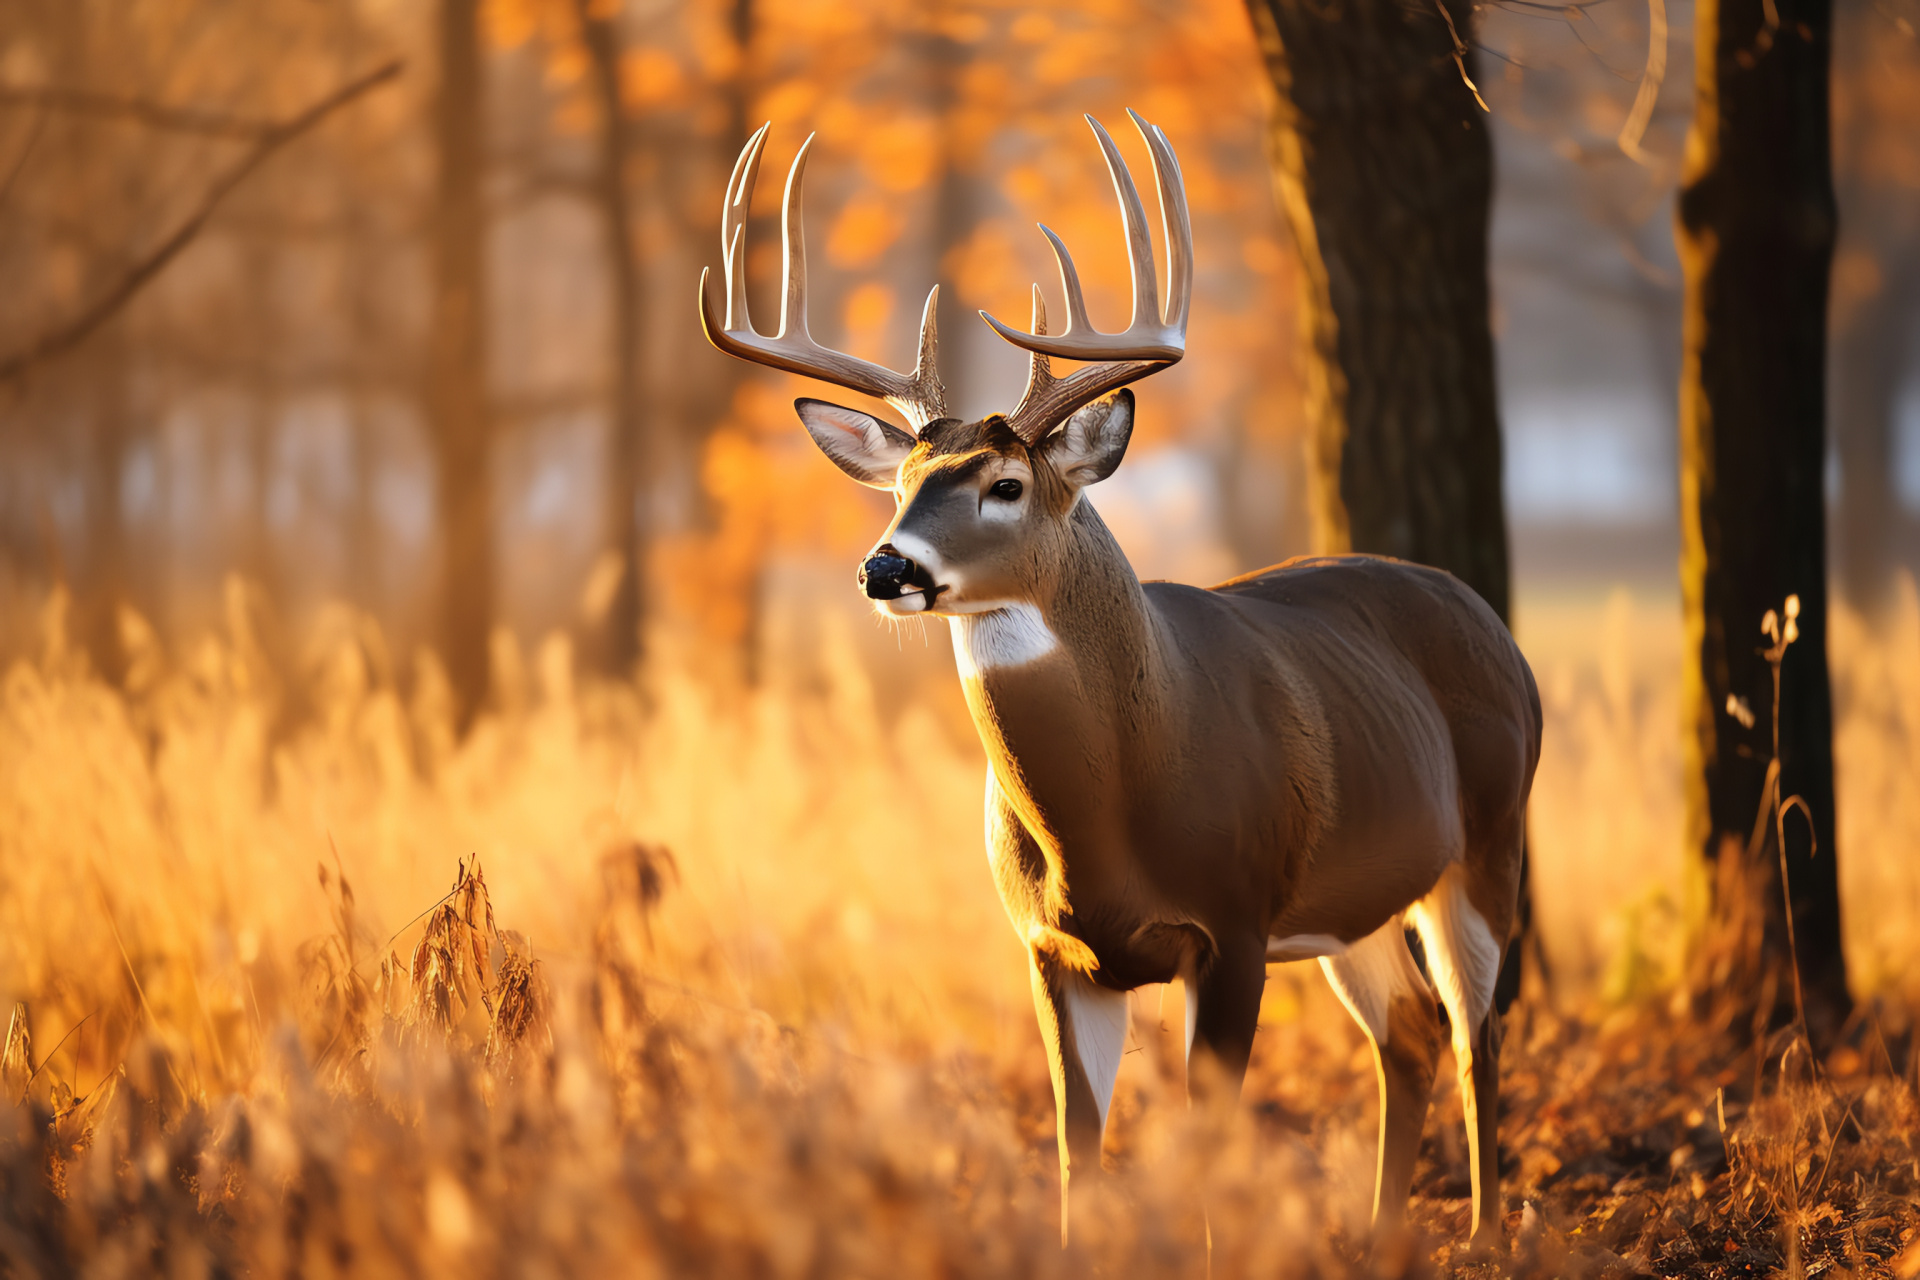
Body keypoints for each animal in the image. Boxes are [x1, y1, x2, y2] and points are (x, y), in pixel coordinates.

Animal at [698, 110, 1536, 1251]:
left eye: (1007, 484)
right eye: (902, 482)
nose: (885, 568)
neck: (1113, 812)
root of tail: (1494, 625)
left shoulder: (1232, 923)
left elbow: (1211, 1146)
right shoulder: (1056, 950)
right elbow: (1074, 1154)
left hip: (1487, 843)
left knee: (1475, 1035)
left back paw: (1488, 1234)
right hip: (1351, 897)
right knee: (1407, 1033)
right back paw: (1379, 1238)